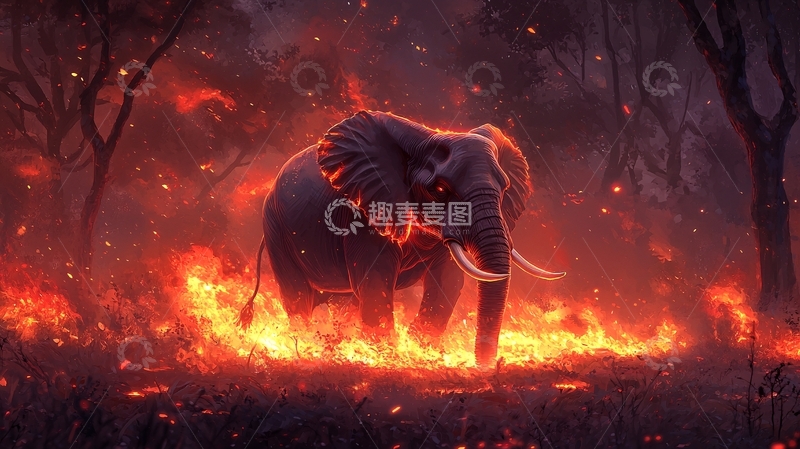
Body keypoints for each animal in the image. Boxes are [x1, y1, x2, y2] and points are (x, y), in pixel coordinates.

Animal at [237, 110, 565, 368]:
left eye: (505, 187)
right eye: (440, 190)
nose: (487, 367)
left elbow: (448, 282)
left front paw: (421, 351)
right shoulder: (365, 213)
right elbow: (375, 281)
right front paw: (389, 358)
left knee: (344, 302)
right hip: (275, 228)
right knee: (298, 297)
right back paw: (308, 346)